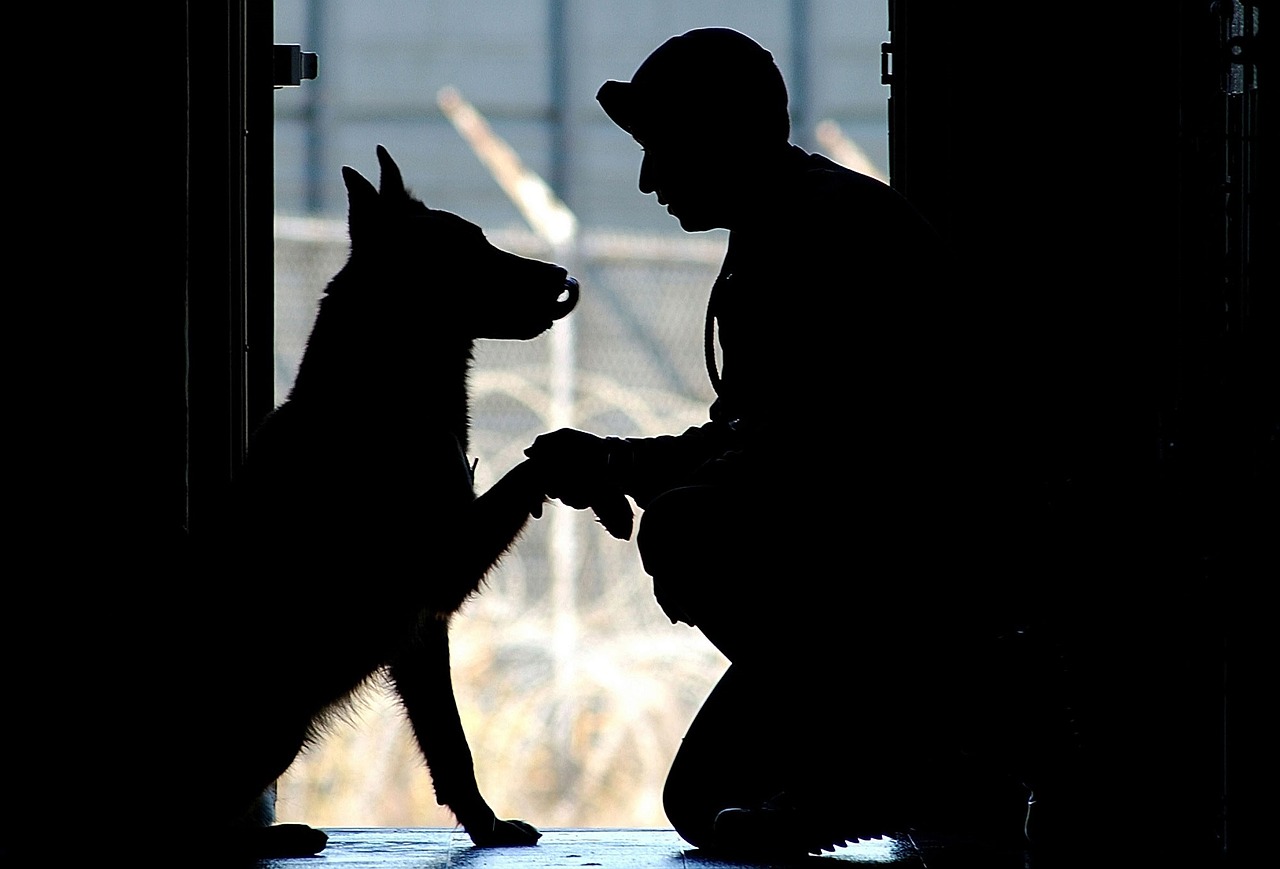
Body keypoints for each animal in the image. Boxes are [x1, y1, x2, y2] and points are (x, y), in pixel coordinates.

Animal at [209, 145, 581, 860]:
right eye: (468, 249)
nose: (562, 277)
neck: (379, 392)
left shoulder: (421, 630)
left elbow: (451, 745)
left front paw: (485, 826)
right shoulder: (442, 572)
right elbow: (528, 470)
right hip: (279, 726)